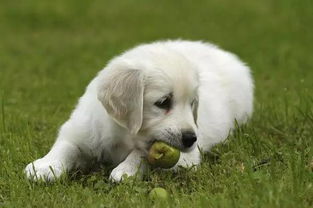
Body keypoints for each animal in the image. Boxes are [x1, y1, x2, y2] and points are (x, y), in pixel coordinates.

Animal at [25, 39, 254, 181]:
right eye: (163, 102)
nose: (191, 139)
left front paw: (126, 170)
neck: (123, 135)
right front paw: (44, 166)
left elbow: (143, 153)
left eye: (192, 103)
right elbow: (65, 146)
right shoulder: (81, 128)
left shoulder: (186, 159)